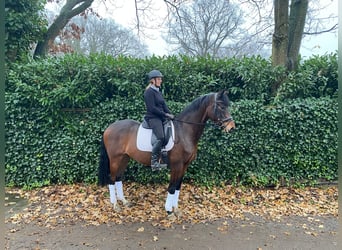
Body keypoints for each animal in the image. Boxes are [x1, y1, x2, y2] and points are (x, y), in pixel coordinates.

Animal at [97, 90, 235, 217]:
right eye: (221, 106)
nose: (231, 127)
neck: (184, 131)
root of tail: (108, 128)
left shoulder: (184, 166)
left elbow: (178, 186)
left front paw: (176, 210)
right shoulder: (177, 165)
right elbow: (172, 187)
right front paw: (169, 211)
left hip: (124, 158)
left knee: (118, 178)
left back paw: (124, 202)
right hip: (115, 159)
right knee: (111, 179)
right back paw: (115, 205)